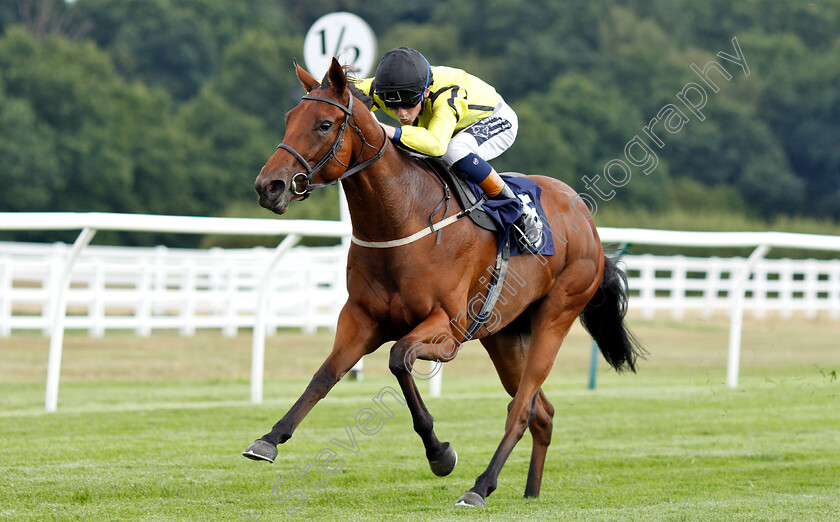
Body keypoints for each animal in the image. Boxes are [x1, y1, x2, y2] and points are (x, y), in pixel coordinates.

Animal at [243, 59, 644, 506]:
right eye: (289, 119)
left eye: (324, 124)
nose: (269, 186)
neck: (403, 218)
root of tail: (587, 221)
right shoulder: (361, 319)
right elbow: (325, 375)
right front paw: (269, 439)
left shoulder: (447, 329)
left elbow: (398, 358)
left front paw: (440, 454)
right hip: (503, 336)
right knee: (543, 413)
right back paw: (530, 493)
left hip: (556, 315)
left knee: (522, 409)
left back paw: (480, 487)